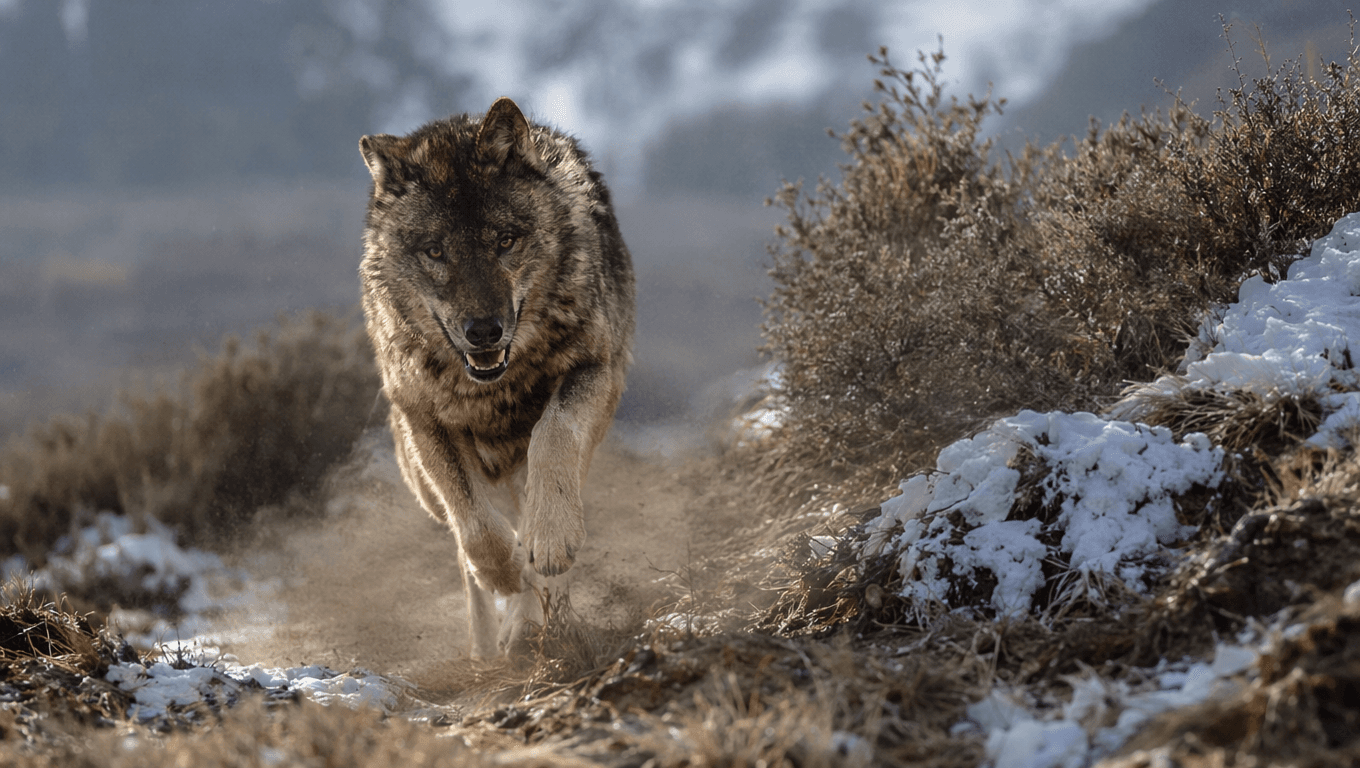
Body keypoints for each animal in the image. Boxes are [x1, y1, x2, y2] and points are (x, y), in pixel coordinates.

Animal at [358, 97, 635, 657]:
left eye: (505, 241)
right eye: (435, 251)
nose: (484, 331)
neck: (494, 388)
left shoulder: (595, 370)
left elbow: (554, 436)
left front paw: (547, 546)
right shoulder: (425, 420)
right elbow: (475, 526)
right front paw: (505, 572)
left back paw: (533, 623)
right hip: (420, 481)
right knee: (463, 548)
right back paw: (487, 648)